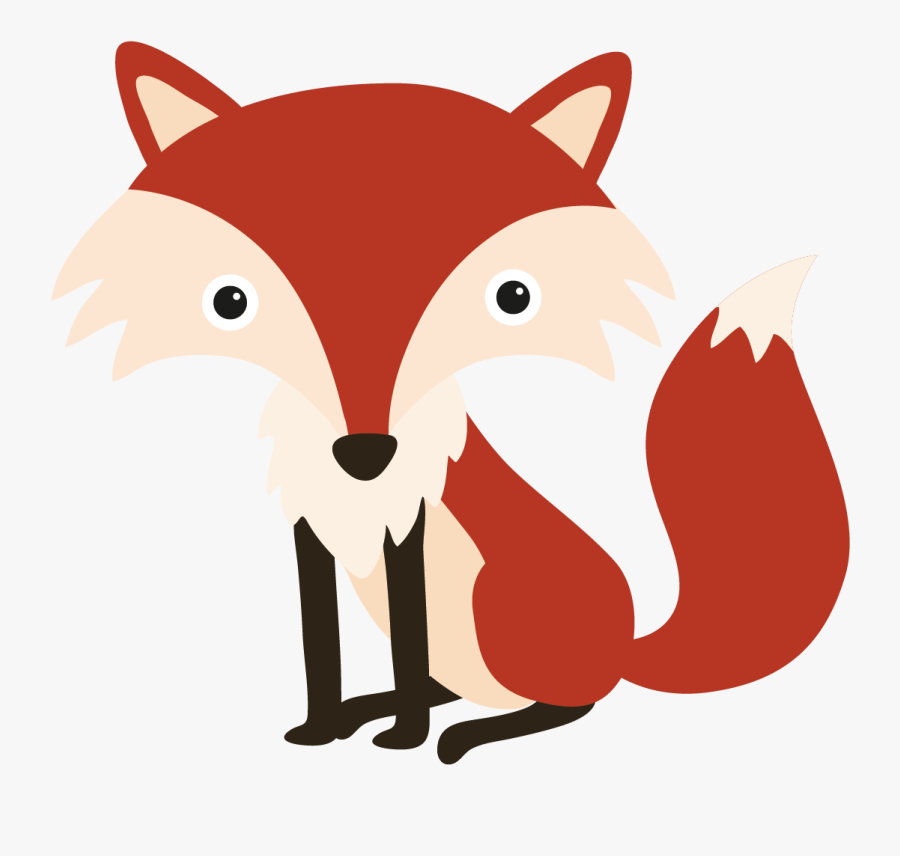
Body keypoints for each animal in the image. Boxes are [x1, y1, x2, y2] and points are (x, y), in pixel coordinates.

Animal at [54, 42, 849, 764]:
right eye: (230, 302)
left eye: (513, 297)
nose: (366, 454)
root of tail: (623, 640)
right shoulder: (310, 535)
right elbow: (321, 648)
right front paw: (321, 727)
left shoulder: (409, 531)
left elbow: (409, 649)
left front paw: (403, 738)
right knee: (460, 685)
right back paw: (378, 710)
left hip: (498, 601)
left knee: (563, 704)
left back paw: (463, 735)